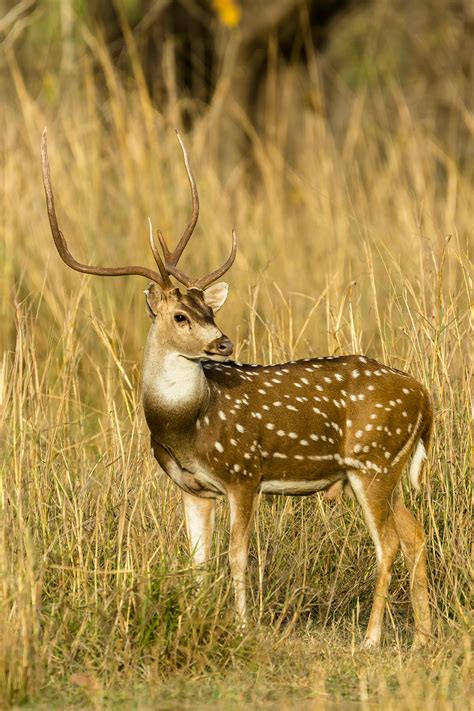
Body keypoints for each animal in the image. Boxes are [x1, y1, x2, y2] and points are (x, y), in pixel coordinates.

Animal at [42, 129, 432, 652]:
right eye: (181, 315)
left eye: (209, 309)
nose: (223, 343)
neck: (188, 425)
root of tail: (425, 397)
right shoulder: (192, 487)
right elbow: (198, 562)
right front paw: (197, 616)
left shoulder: (244, 472)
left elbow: (238, 555)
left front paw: (244, 627)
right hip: (376, 471)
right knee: (414, 533)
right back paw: (424, 637)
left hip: (373, 460)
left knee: (388, 541)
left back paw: (371, 639)